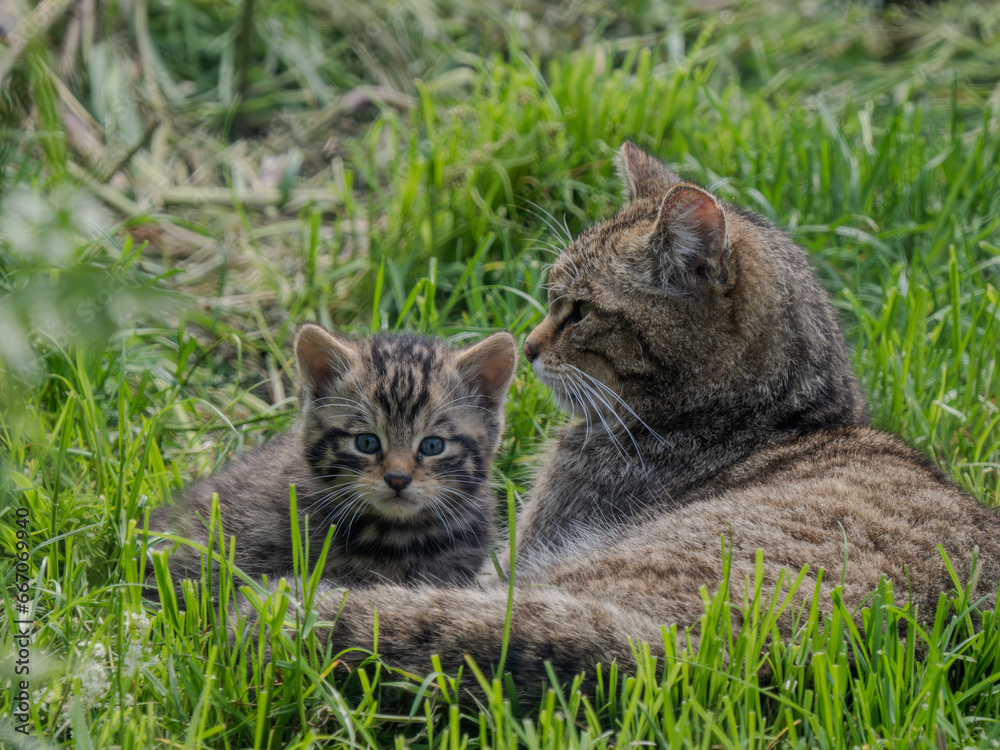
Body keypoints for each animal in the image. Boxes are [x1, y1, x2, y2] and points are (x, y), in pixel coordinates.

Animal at [280, 144, 1000, 704]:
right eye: (551, 295)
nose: (529, 344)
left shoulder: (510, 558)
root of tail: (704, 659)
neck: (772, 414)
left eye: (578, 310)